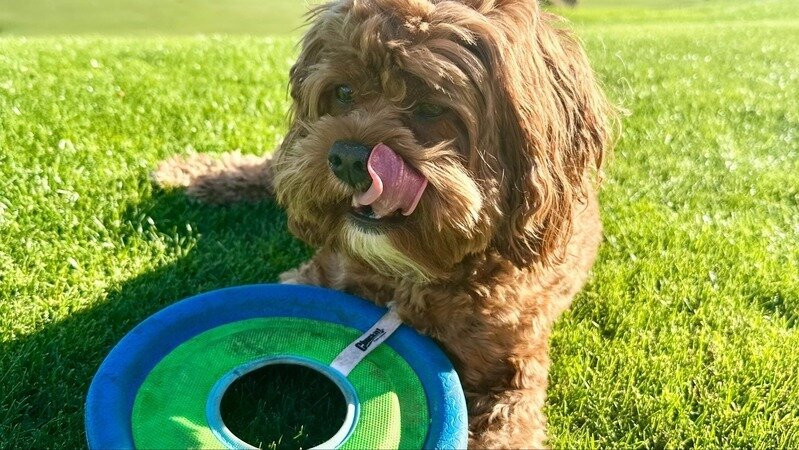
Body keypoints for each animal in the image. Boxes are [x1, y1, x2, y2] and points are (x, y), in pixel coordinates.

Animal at [154, 0, 614, 447]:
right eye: (343, 92)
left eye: (432, 107)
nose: (349, 158)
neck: (408, 274)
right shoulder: (312, 279)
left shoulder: (513, 372)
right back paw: (191, 175)